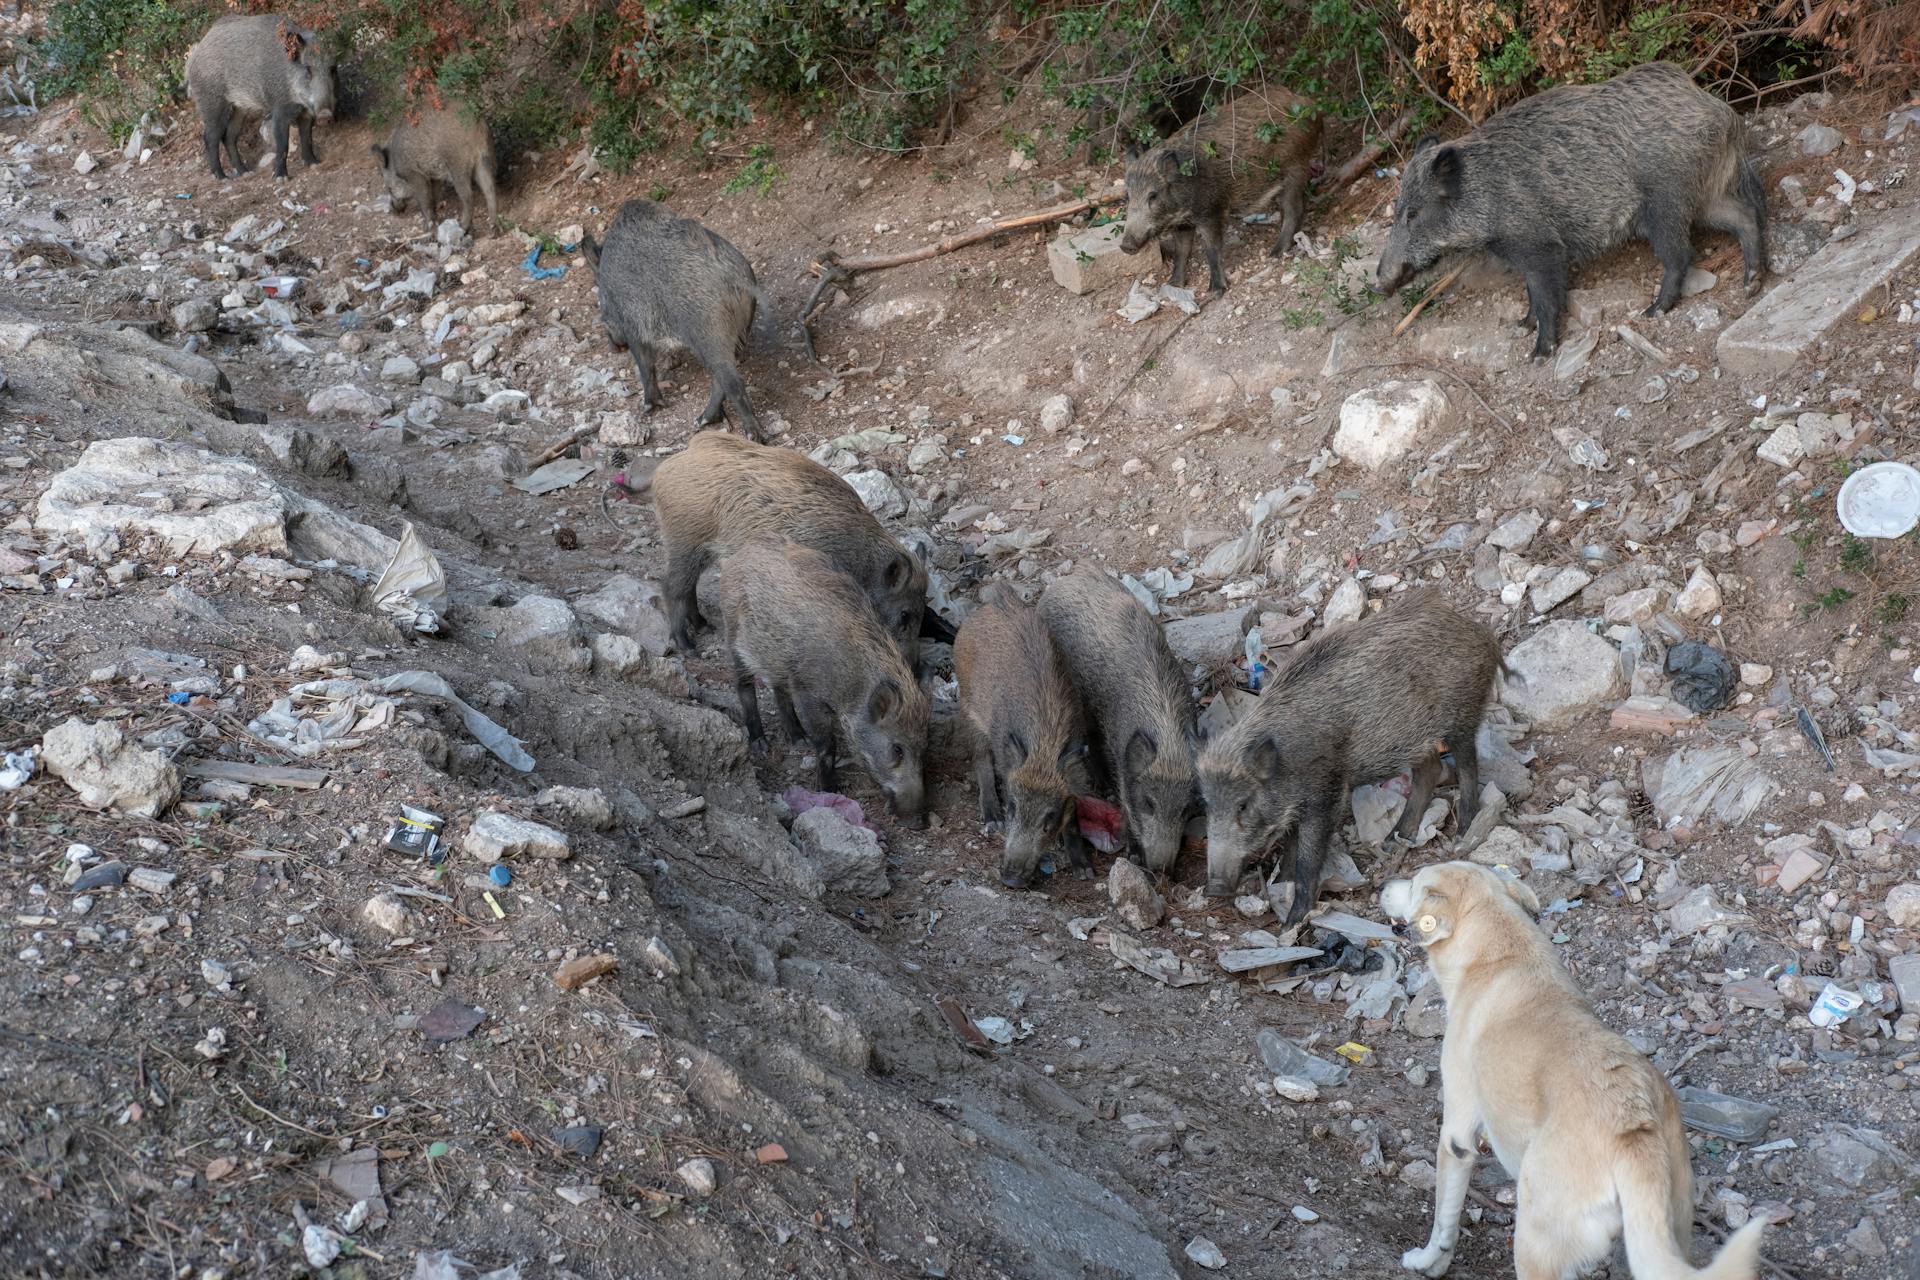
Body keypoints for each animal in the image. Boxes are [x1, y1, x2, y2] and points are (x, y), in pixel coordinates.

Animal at [1382, 859, 1766, 1280]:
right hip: (1669, 1227)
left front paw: (1426, 1261)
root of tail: (1633, 1127)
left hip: (1535, 1237)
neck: (1498, 954)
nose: (1384, 885)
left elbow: (1443, 1222)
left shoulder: (1457, 1136)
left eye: (1414, 884)